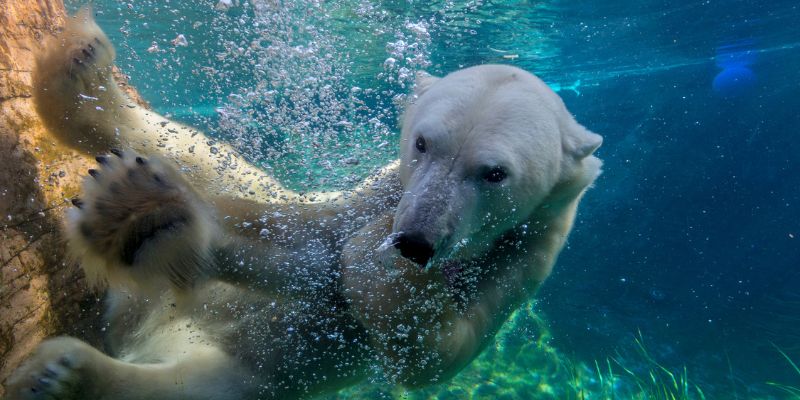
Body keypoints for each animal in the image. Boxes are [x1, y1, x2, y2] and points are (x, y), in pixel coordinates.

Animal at [4, 7, 600, 400]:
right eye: (422, 143)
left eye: (494, 173)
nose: (413, 239)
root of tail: (141, 330)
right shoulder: (383, 189)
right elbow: (311, 242)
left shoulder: (529, 253)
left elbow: (432, 351)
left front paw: (380, 266)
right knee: (205, 163)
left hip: (239, 374)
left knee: (183, 386)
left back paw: (61, 369)